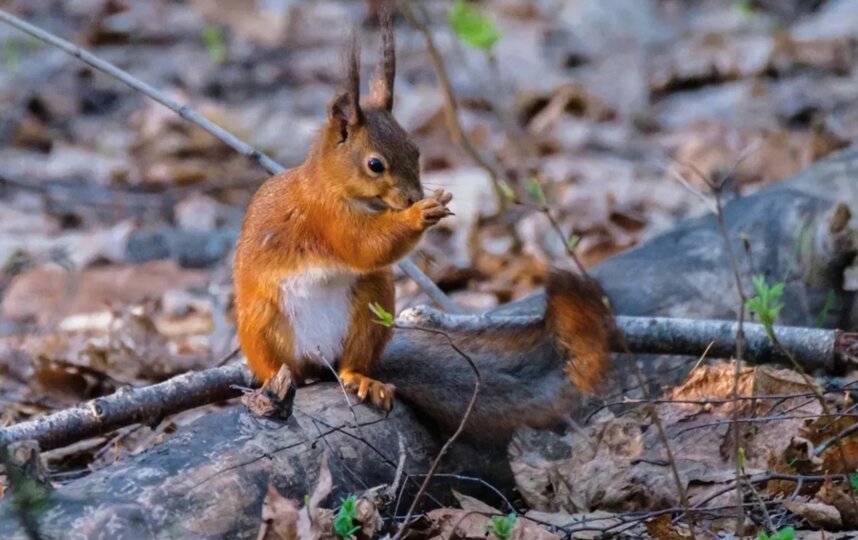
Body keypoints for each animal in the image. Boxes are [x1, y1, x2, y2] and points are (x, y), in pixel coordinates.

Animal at [231, 3, 612, 434]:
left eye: (416, 150)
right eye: (375, 164)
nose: (412, 196)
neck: (335, 186)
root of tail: (319, 358)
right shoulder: (325, 217)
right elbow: (363, 247)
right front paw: (422, 213)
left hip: (372, 304)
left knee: (348, 367)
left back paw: (362, 379)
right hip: (264, 323)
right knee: (283, 367)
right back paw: (277, 383)